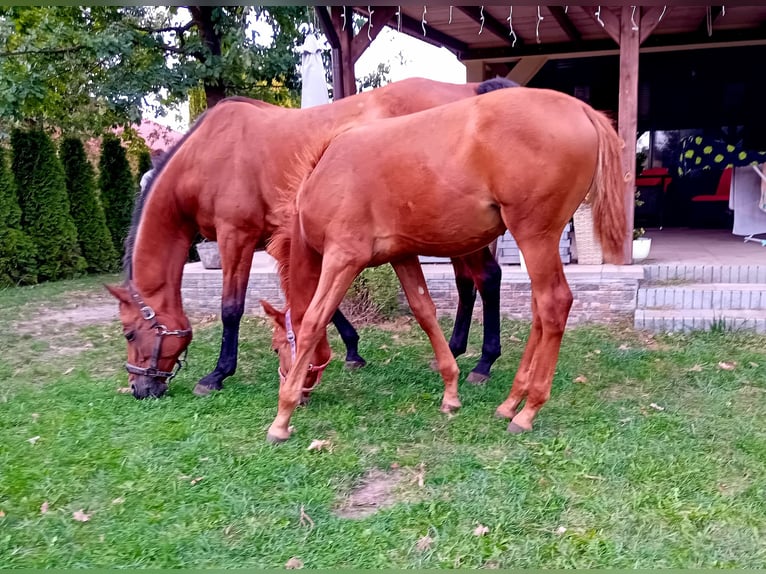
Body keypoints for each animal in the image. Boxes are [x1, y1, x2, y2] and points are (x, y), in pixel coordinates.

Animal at [106, 77, 516, 400]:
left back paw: (483, 362)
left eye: (129, 333)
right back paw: (454, 350)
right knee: (467, 283)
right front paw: (351, 352)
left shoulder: (236, 236)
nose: (139, 388)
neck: (208, 153)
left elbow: (231, 308)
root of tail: (470, 91)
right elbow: (322, 304)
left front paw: (217, 374)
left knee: (487, 277)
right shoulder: (290, 240)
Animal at [260, 86, 628, 446]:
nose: (301, 393)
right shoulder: (402, 255)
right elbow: (424, 311)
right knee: (540, 310)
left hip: (535, 237)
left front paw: (282, 417)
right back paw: (511, 402)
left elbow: (313, 321)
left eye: (277, 346)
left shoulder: (343, 258)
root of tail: (582, 109)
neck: (326, 176)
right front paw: (451, 392)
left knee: (554, 304)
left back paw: (527, 411)